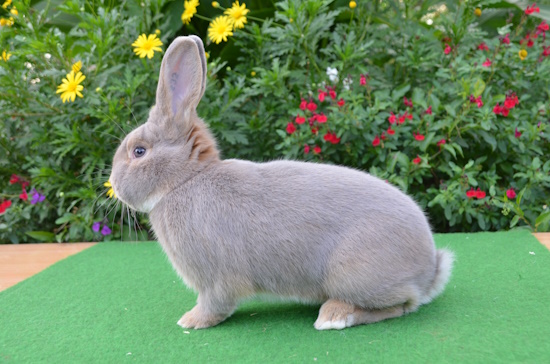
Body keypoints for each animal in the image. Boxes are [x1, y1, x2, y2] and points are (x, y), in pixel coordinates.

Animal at [110, 36, 454, 330]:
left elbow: (214, 304)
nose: (112, 183)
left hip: (352, 275)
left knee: (403, 304)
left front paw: (191, 321)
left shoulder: (216, 278)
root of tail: (430, 268)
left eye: (139, 151)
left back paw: (335, 316)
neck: (186, 180)